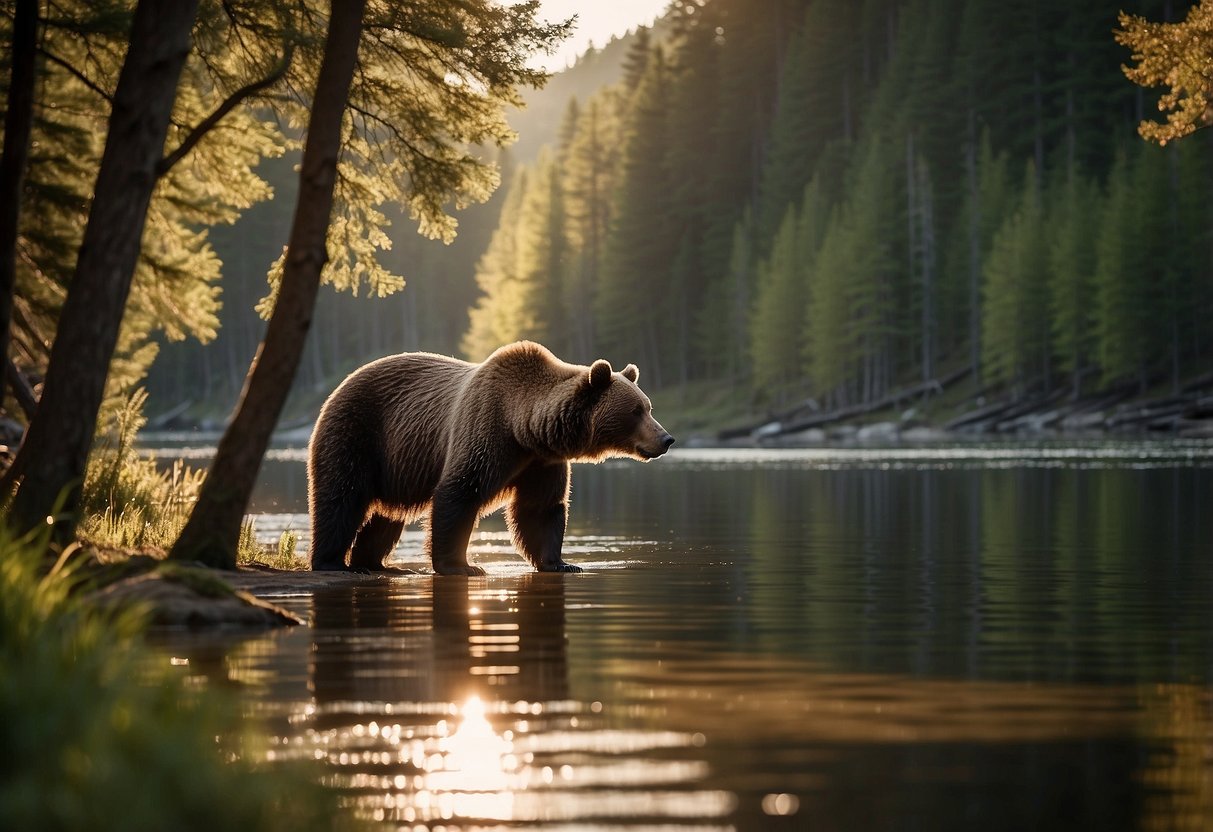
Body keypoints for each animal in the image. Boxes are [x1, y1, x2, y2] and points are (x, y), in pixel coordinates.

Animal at [305, 342, 674, 577]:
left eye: (648, 406)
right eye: (636, 410)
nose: (667, 439)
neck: (523, 429)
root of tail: (340, 385)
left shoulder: (541, 462)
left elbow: (540, 509)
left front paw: (561, 562)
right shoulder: (485, 430)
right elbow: (460, 492)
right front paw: (463, 565)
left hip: (396, 465)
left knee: (385, 517)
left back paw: (378, 563)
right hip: (359, 432)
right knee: (341, 496)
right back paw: (333, 562)